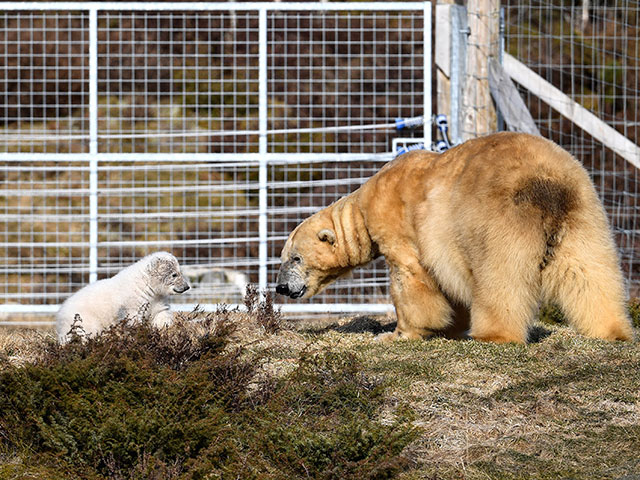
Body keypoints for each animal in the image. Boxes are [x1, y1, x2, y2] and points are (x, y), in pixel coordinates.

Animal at [57, 251, 190, 342]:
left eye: (180, 272)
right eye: (174, 274)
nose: (186, 287)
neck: (145, 284)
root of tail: (62, 310)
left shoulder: (157, 298)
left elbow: (161, 314)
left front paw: (165, 332)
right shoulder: (132, 302)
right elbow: (133, 320)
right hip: (83, 319)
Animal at [276, 131, 636, 344]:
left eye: (295, 258)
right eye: (283, 258)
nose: (280, 287)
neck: (364, 205)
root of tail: (546, 183)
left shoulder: (399, 225)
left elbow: (411, 279)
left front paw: (398, 334)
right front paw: (451, 326)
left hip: (497, 216)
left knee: (500, 277)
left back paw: (493, 334)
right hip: (583, 211)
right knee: (589, 270)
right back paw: (612, 329)